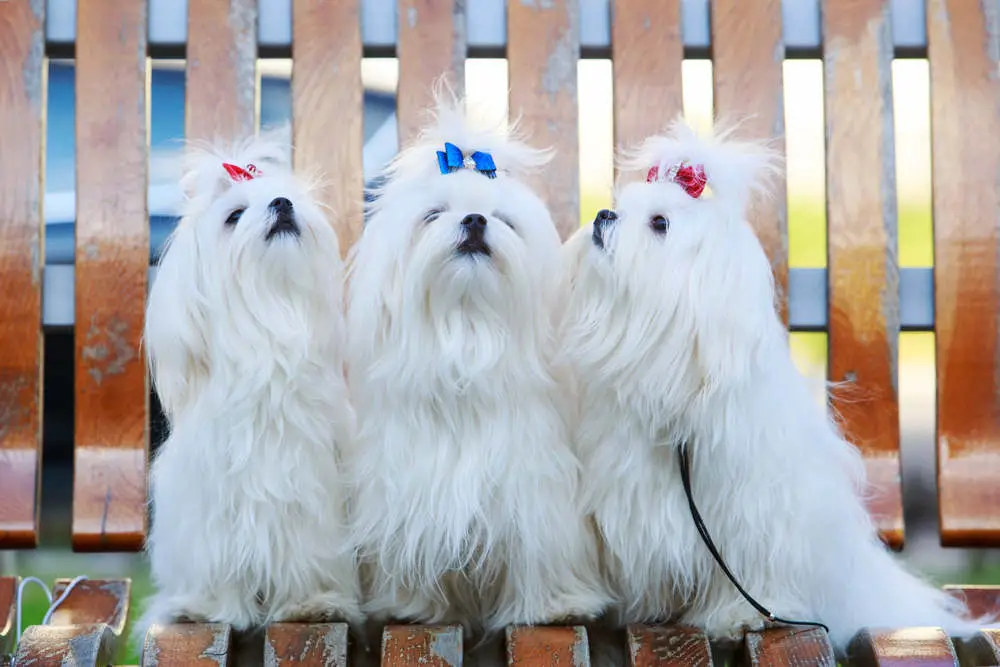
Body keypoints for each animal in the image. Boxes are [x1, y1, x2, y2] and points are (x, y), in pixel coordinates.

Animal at [139, 132, 360, 636]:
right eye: (234, 216)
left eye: (287, 197)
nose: (282, 204)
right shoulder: (211, 505)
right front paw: (207, 606)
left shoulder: (309, 495)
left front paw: (310, 603)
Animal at [344, 98, 608, 636]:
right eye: (433, 214)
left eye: (502, 219)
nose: (474, 220)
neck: (466, 336)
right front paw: (412, 605)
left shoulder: (535, 488)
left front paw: (556, 606)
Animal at [560, 118, 988, 652]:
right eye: (620, 205)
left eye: (659, 223)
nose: (603, 215)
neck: (673, 371)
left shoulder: (753, 504)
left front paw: (741, 615)